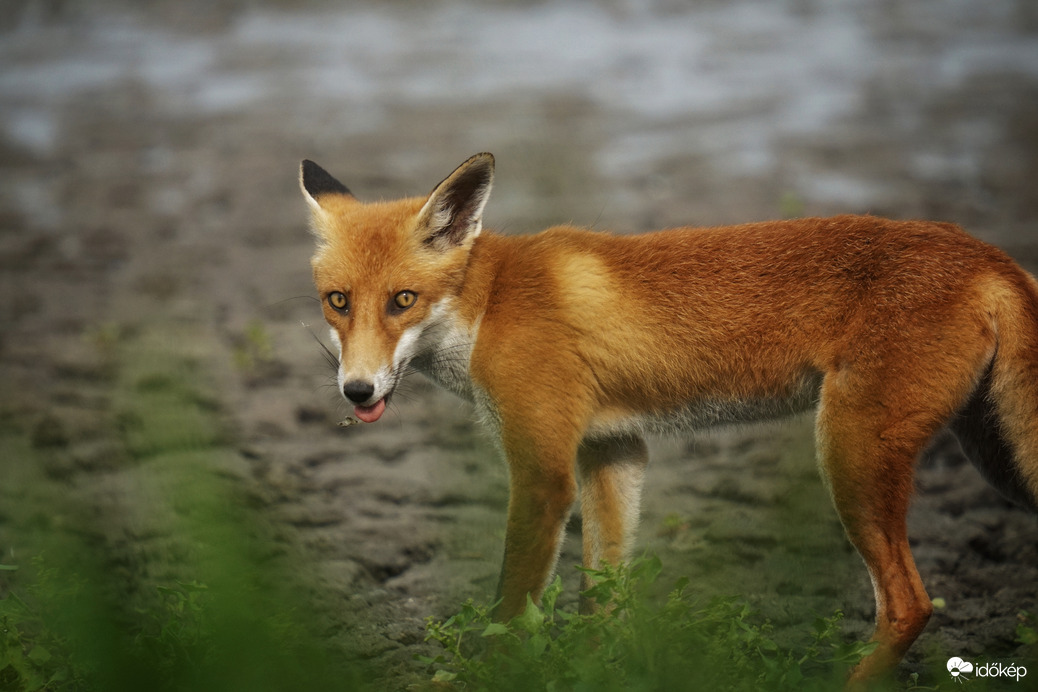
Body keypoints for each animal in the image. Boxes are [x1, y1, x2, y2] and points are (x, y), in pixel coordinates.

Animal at [299, 152, 1038, 685]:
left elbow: (510, 610)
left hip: (852, 455)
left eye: (402, 300)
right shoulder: (612, 452)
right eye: (339, 301)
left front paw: (482, 676)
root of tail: (987, 254)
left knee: (910, 605)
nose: (357, 392)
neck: (490, 304)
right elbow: (603, 597)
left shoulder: (543, 473)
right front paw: (593, 671)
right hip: (993, 460)